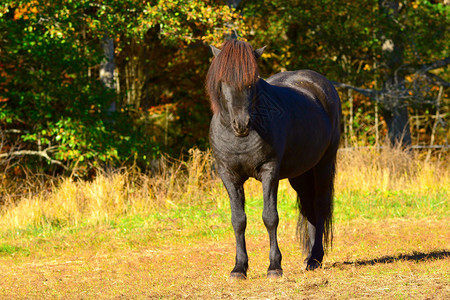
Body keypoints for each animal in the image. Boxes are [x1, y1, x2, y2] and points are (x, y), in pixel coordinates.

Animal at [207, 39, 342, 278]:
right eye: (223, 81)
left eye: (252, 82)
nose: (241, 123)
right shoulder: (229, 175)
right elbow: (238, 220)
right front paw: (239, 268)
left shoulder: (269, 171)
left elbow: (270, 217)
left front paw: (274, 267)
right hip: (301, 174)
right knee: (308, 207)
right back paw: (310, 257)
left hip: (323, 165)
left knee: (319, 204)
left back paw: (315, 257)